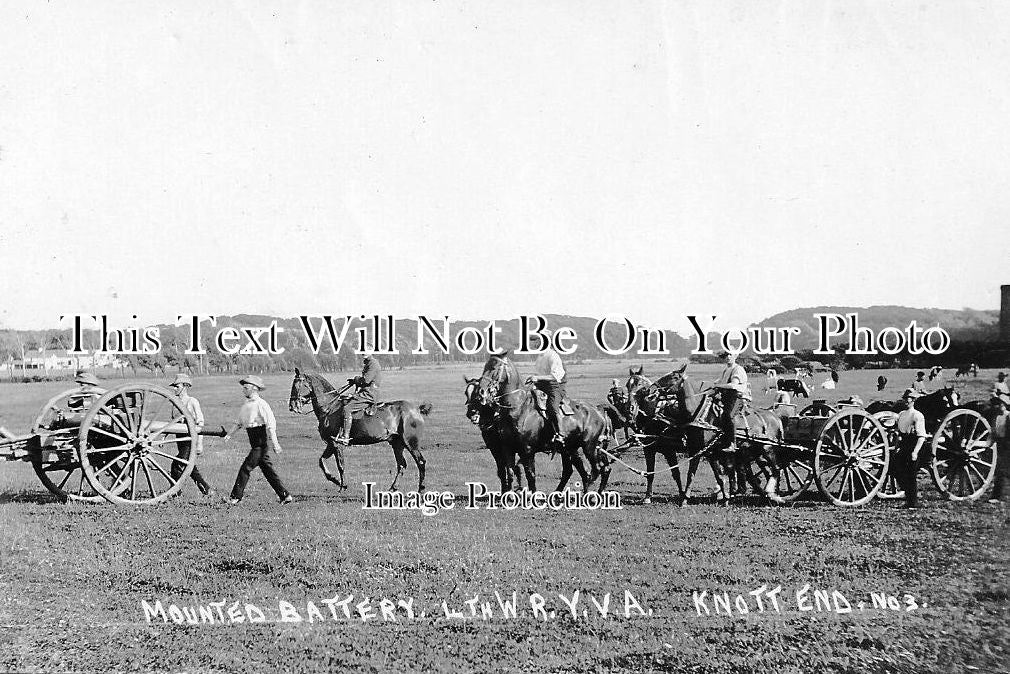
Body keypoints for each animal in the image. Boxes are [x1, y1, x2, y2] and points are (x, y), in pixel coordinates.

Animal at [292, 369, 434, 491]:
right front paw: (335, 479)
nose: (292, 406)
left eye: (296, 385)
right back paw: (393, 488)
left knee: (420, 462)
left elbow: (340, 465)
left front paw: (343, 485)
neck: (330, 408)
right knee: (402, 464)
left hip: (410, 442)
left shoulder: (336, 444)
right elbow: (321, 461)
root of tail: (416, 409)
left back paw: (421, 489)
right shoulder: (331, 444)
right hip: (397, 443)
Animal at [476, 353, 610, 491]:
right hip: (570, 449)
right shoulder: (507, 449)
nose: (481, 390)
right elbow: (510, 473)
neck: (518, 409)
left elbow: (530, 476)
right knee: (579, 471)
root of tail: (598, 411)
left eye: (494, 367)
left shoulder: (527, 450)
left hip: (589, 447)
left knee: (598, 469)